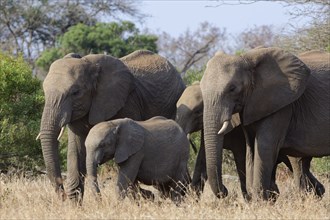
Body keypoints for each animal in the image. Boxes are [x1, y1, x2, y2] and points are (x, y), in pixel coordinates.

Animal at [38, 50, 186, 203]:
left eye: (75, 92)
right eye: (44, 90)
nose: (62, 196)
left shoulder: (127, 102)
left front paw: (144, 196)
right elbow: (76, 151)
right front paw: (75, 205)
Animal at [200, 47, 328, 199]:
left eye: (232, 88)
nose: (225, 191)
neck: (247, 60)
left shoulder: (281, 105)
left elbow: (265, 147)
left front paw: (261, 199)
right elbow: (251, 149)